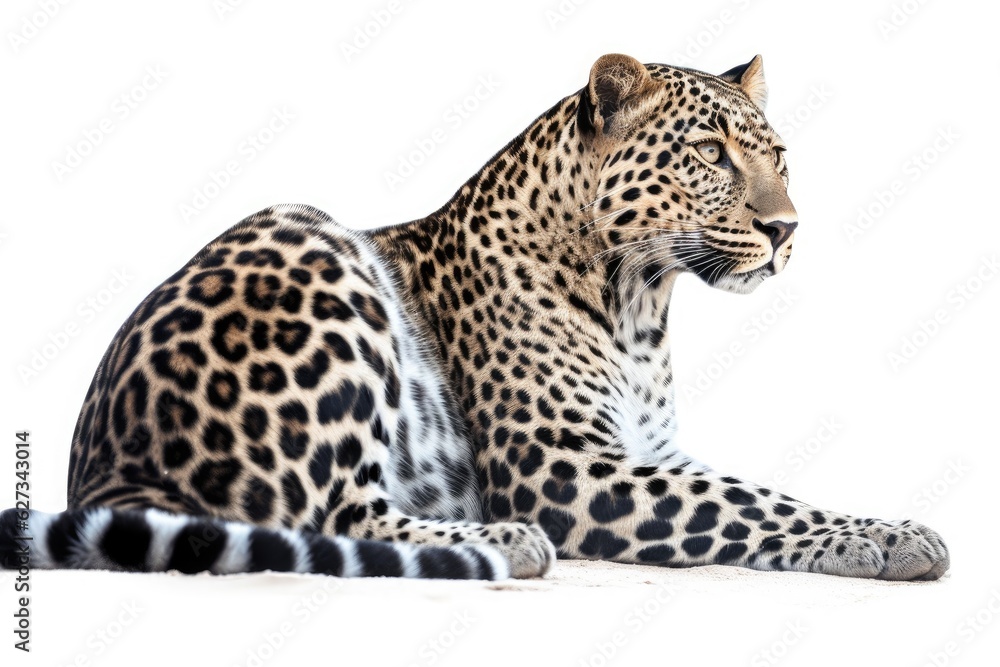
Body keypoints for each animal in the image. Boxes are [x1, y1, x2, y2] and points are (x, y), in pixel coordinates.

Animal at [1, 54, 949, 581]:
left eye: (780, 157)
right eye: (710, 154)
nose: (787, 229)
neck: (644, 305)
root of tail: (102, 470)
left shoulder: (650, 448)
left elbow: (754, 491)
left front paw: (874, 530)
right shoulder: (564, 468)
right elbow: (747, 504)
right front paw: (891, 536)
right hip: (312, 241)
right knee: (327, 519)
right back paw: (504, 543)